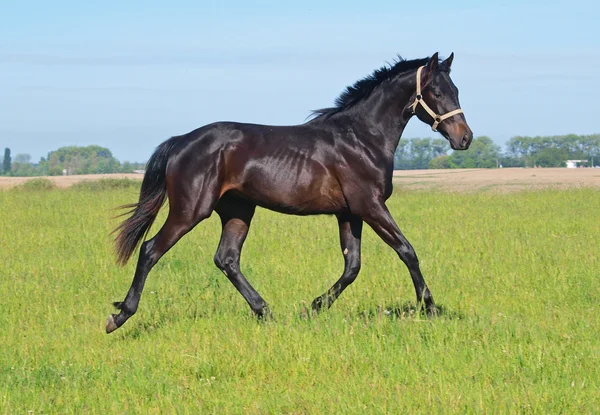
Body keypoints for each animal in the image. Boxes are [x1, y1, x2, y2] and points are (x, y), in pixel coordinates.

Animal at [106, 51, 474, 334]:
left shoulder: (349, 212)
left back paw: (265, 312)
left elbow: (352, 266)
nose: (465, 138)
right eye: (436, 92)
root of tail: (181, 141)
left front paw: (314, 306)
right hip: (190, 210)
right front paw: (429, 307)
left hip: (238, 211)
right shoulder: (370, 206)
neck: (361, 137)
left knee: (226, 259)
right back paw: (120, 315)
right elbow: (406, 250)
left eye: (455, 89)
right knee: (151, 250)